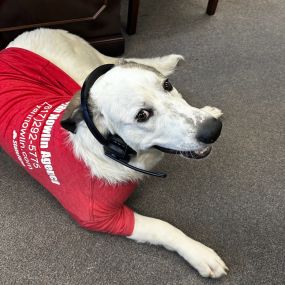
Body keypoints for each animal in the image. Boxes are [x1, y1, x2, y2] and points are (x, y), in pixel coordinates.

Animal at [3, 28, 226, 278]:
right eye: (142, 115)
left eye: (167, 85)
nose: (213, 129)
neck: (110, 150)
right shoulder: (99, 218)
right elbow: (163, 227)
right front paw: (199, 253)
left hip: (81, 77)